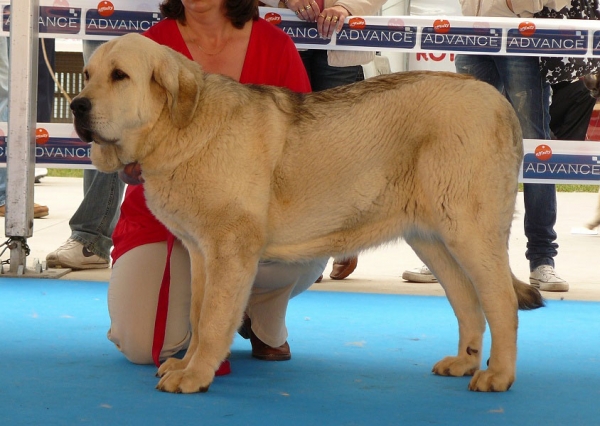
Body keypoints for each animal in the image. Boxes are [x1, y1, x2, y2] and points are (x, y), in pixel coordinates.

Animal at [74, 32, 544, 392]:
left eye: (120, 76)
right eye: (88, 75)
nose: (77, 105)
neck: (180, 126)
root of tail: (500, 103)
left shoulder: (230, 251)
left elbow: (212, 320)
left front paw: (196, 375)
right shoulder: (200, 253)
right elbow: (196, 312)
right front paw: (186, 363)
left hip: (469, 231)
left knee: (500, 302)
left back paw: (498, 375)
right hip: (432, 240)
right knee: (468, 301)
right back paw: (464, 362)